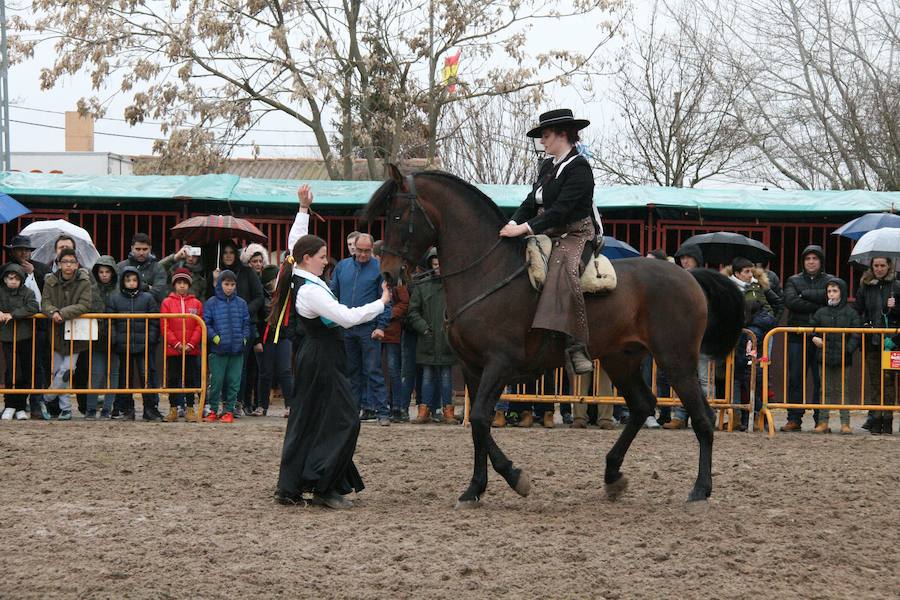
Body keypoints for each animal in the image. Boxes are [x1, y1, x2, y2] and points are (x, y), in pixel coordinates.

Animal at [360, 164, 744, 506]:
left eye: (397, 217)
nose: (388, 275)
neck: (487, 272)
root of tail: (689, 276)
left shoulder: (500, 364)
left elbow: (482, 419)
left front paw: (515, 477)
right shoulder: (471, 369)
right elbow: (478, 428)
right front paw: (475, 489)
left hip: (676, 360)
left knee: (703, 418)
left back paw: (699, 490)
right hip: (621, 359)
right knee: (642, 406)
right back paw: (613, 475)